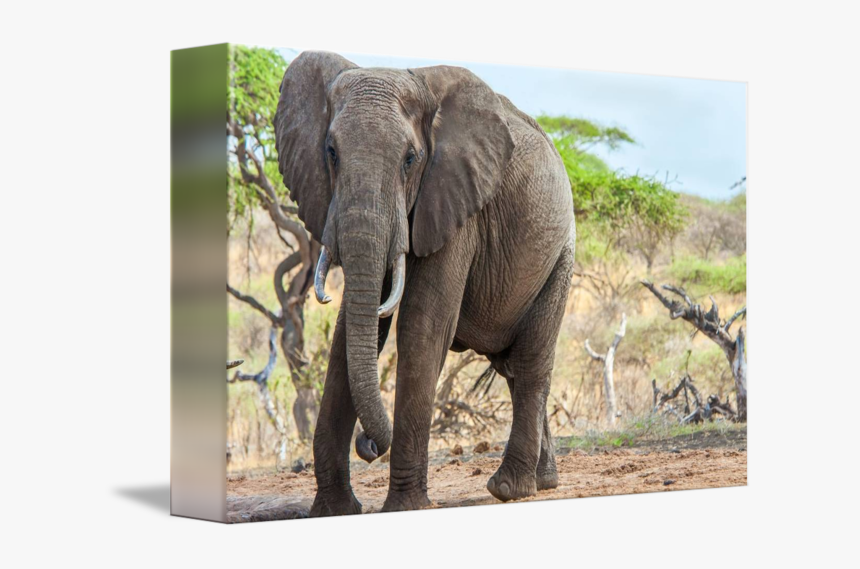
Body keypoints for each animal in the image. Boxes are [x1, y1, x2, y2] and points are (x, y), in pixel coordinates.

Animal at [274, 51, 575, 515]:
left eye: (410, 159)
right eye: (331, 153)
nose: (369, 444)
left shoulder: (460, 205)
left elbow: (422, 323)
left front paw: (405, 507)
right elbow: (349, 331)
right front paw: (334, 510)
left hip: (560, 256)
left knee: (530, 364)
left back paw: (509, 489)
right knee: (511, 367)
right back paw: (543, 482)